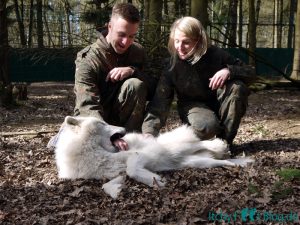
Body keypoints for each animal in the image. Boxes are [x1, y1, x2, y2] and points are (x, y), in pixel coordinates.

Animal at [49, 116, 253, 199]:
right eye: (102, 123)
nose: (124, 129)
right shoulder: (111, 173)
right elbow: (106, 184)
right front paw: (117, 191)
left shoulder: (139, 155)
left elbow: (132, 169)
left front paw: (156, 181)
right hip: (198, 163)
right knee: (221, 162)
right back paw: (243, 163)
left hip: (177, 147)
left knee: (203, 144)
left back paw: (221, 147)